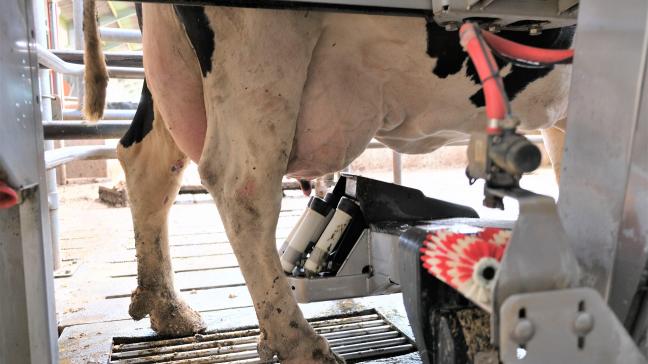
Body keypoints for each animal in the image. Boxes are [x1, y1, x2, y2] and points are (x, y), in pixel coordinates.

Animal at [81, 1, 572, 362]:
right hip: (260, 51)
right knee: (241, 186)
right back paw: (301, 345)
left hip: (171, 67)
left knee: (147, 161)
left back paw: (167, 305)